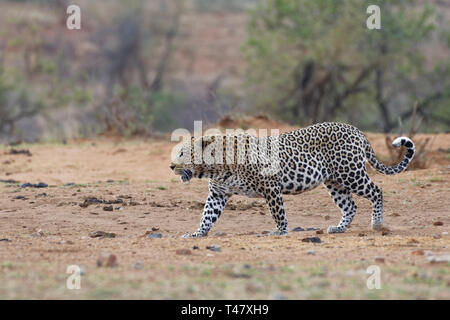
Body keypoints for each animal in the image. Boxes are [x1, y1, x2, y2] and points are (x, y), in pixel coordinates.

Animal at [170, 122, 414, 238]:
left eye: (182, 153)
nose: (171, 166)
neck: (214, 167)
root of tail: (358, 131)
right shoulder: (218, 193)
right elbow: (207, 216)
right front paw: (196, 234)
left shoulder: (270, 186)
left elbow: (278, 212)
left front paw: (280, 231)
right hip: (334, 181)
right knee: (350, 206)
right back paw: (338, 228)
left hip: (351, 173)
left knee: (377, 191)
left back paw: (377, 224)